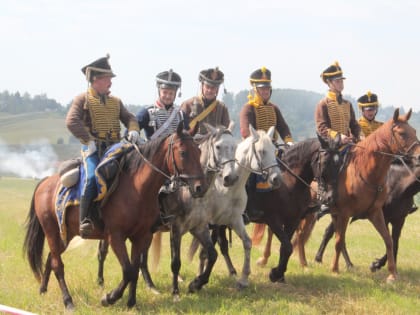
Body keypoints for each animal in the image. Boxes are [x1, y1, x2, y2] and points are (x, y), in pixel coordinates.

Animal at [23, 124, 207, 312]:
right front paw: (109, 298)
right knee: (57, 265)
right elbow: (128, 270)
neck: (136, 188)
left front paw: (131, 302)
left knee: (50, 259)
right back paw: (68, 302)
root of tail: (45, 182)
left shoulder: (141, 236)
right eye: (183, 152)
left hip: (64, 235)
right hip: (52, 232)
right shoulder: (115, 237)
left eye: (199, 151)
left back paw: (43, 289)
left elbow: (134, 269)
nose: (201, 187)